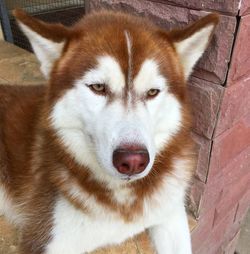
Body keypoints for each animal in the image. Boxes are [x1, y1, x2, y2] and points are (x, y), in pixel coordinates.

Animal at [0, 8, 218, 254]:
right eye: (98, 87)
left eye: (152, 92)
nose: (133, 161)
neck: (122, 196)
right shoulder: (48, 239)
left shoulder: (170, 211)